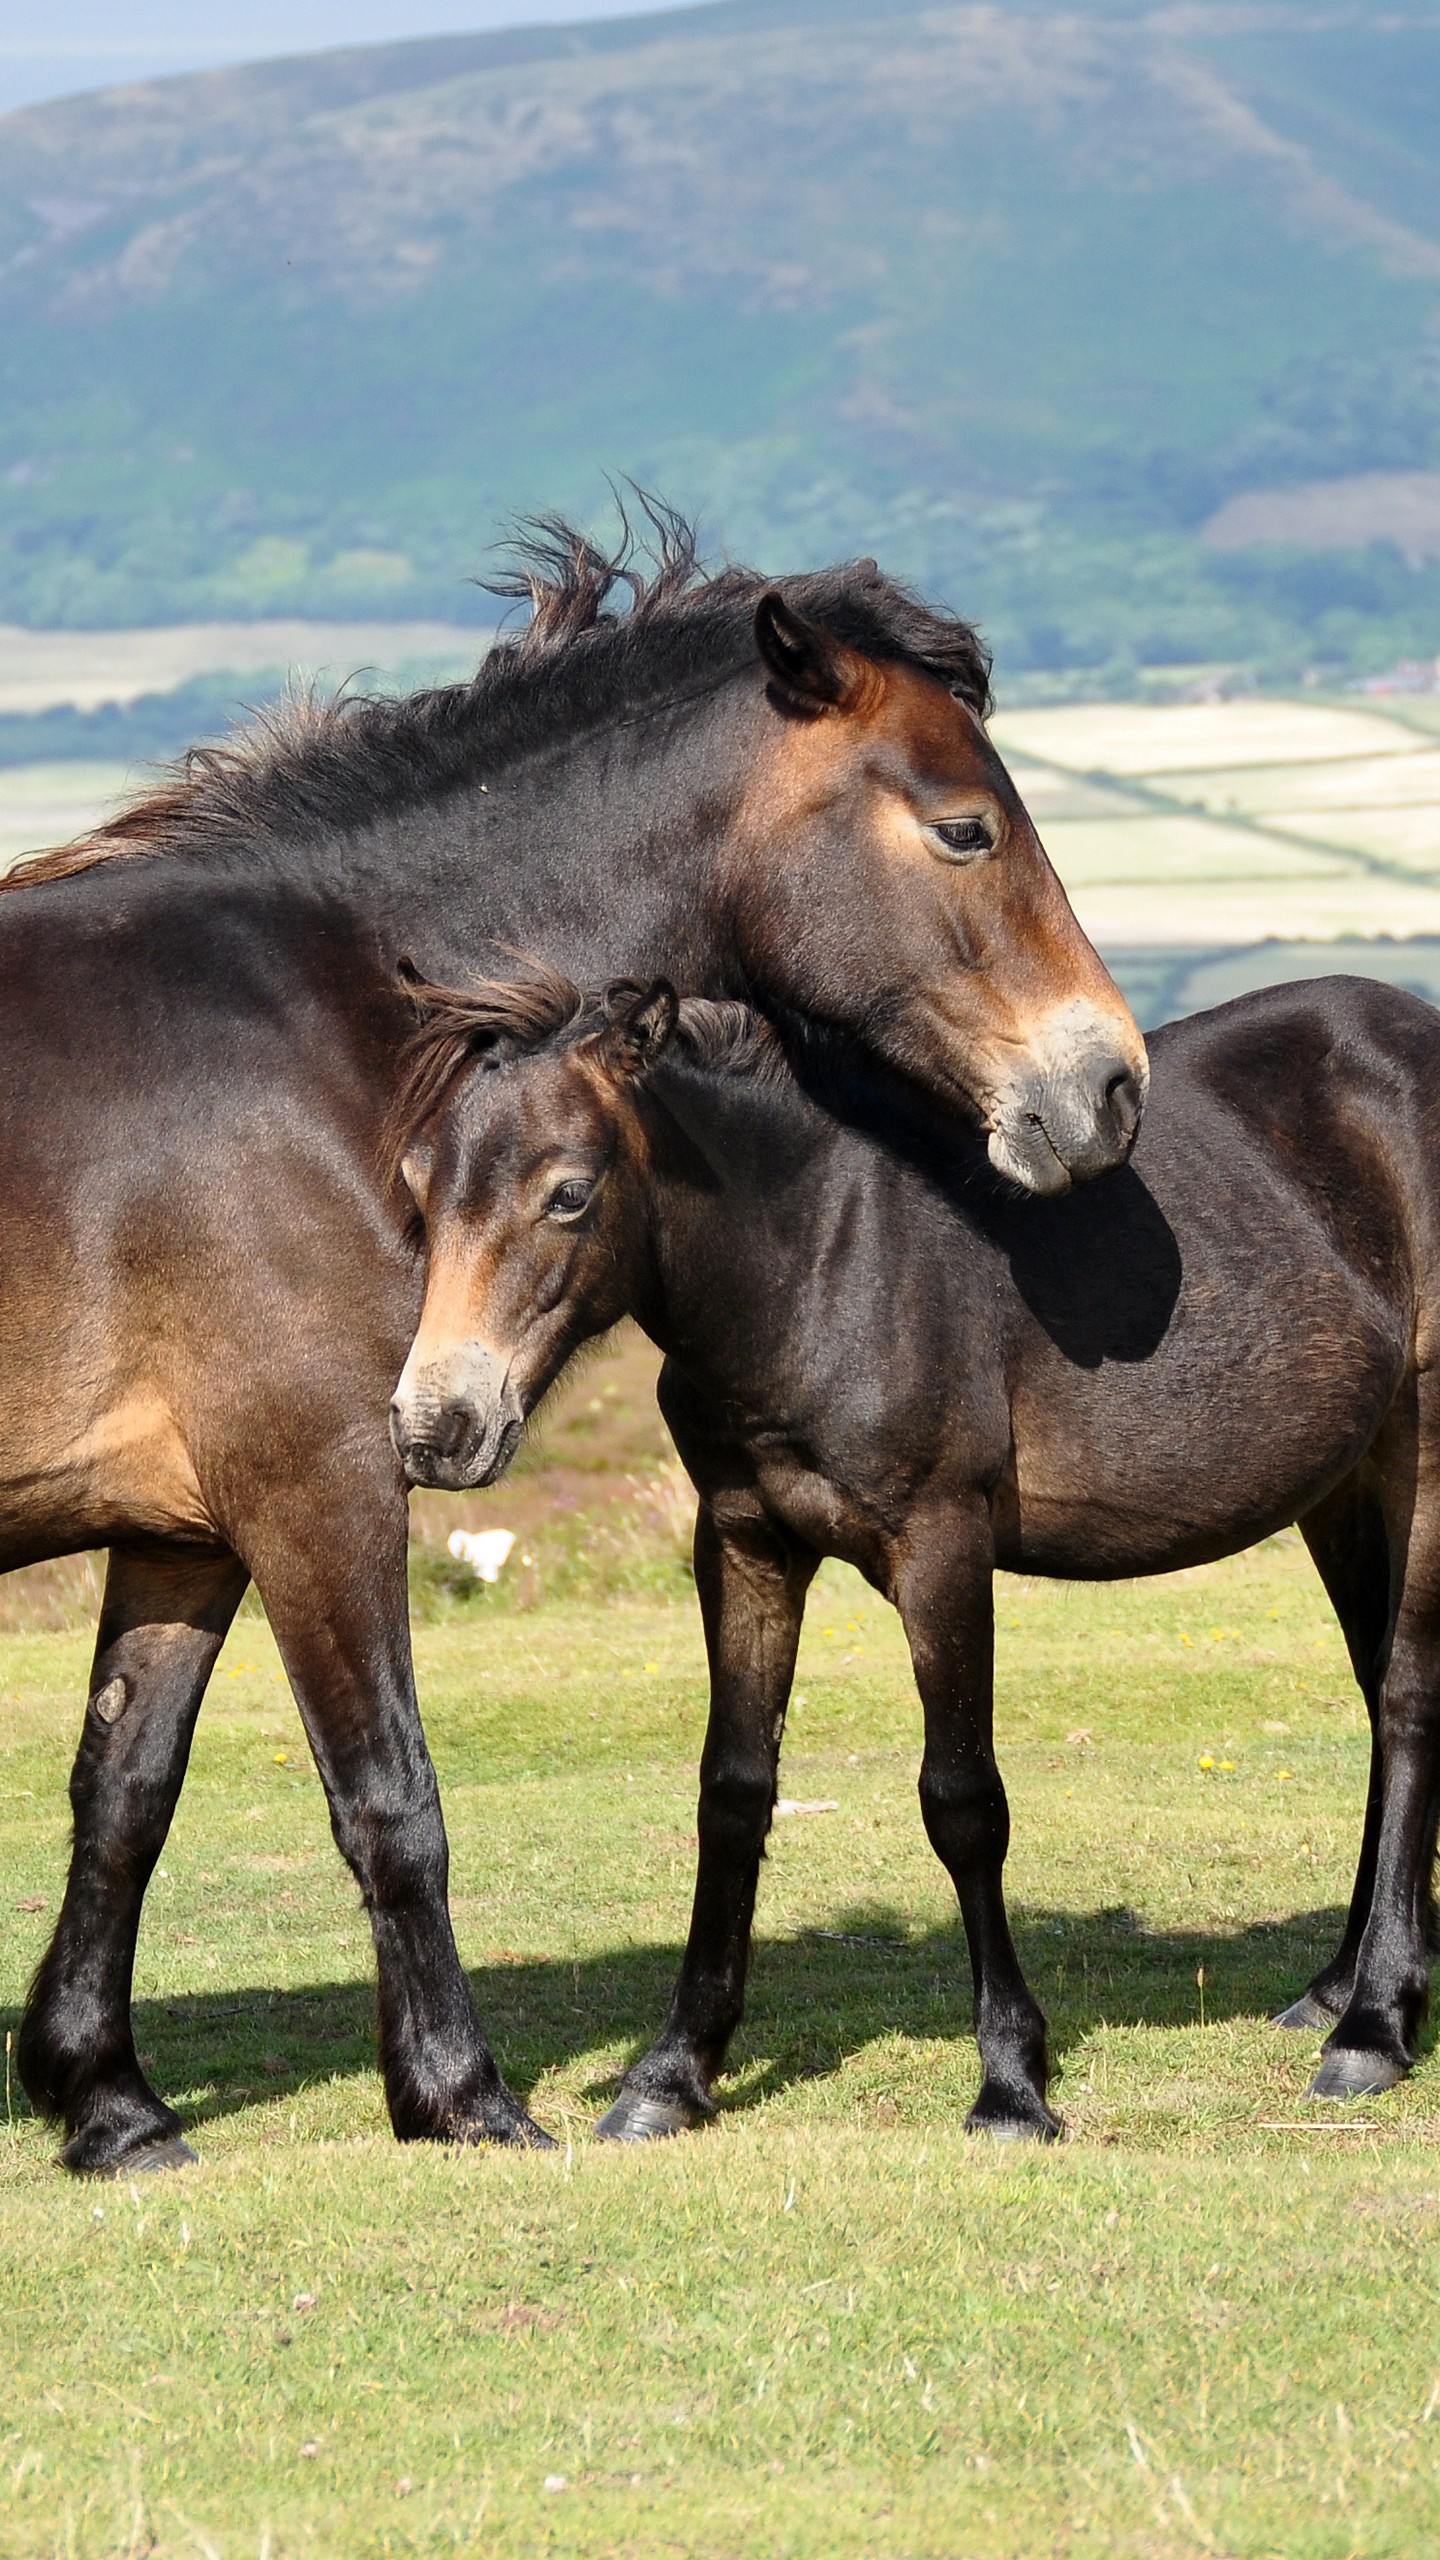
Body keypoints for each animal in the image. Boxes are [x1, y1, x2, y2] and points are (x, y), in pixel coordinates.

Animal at [2, 519, 1142, 2181]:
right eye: (965, 829)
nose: (1110, 1084)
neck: (318, 1026)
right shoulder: (319, 1477)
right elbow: (389, 1797)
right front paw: (460, 2095)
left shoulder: (186, 1522)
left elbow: (122, 1794)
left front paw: (107, 2102)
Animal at [386, 967, 1434, 2129]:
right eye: (418, 1189)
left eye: (567, 1193)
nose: (437, 1428)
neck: (822, 1262)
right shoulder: (744, 1542)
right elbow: (733, 1790)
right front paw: (672, 2073)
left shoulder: (942, 1549)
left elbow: (963, 1801)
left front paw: (1012, 2080)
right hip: (1343, 1486)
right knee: (1378, 1700)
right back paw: (1340, 1987)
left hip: (1421, 1458)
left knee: (1407, 1704)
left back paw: (1372, 2027)